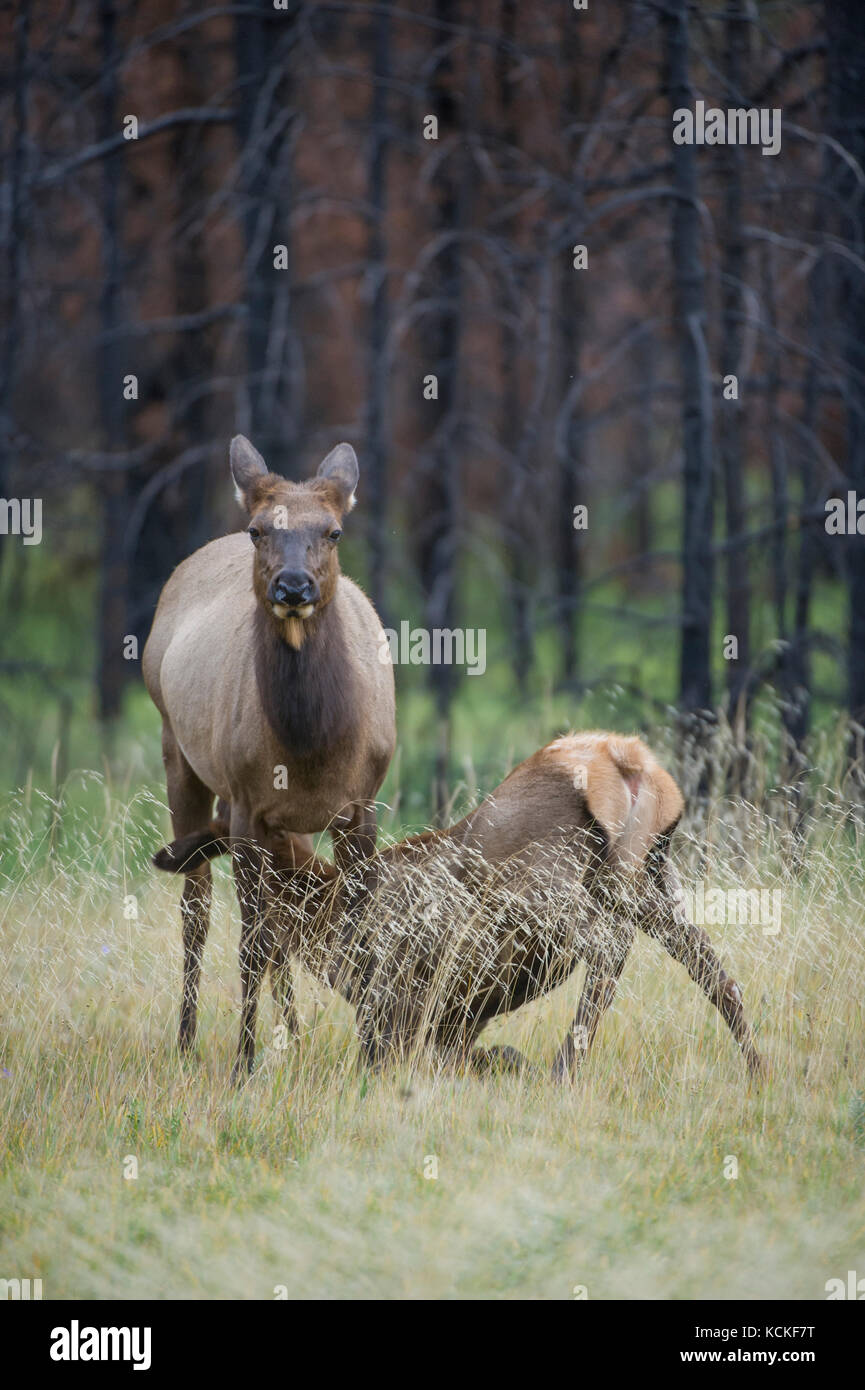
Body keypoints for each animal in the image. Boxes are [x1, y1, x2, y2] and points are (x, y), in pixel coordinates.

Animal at [143, 430, 397, 1073]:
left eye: (333, 531)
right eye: (260, 530)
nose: (293, 587)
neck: (312, 750)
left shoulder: (361, 807)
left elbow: (359, 935)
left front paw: (373, 1056)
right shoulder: (247, 808)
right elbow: (251, 945)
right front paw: (244, 1063)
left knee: (277, 921)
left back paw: (298, 1037)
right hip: (178, 752)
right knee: (198, 909)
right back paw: (186, 1042)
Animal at [154, 733, 767, 1078]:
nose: (171, 853)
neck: (324, 920)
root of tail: (626, 761)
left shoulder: (397, 994)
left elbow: (390, 1051)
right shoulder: (459, 1013)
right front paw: (502, 1062)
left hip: (552, 887)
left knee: (611, 948)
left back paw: (563, 1068)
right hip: (653, 880)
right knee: (718, 973)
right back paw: (759, 1067)